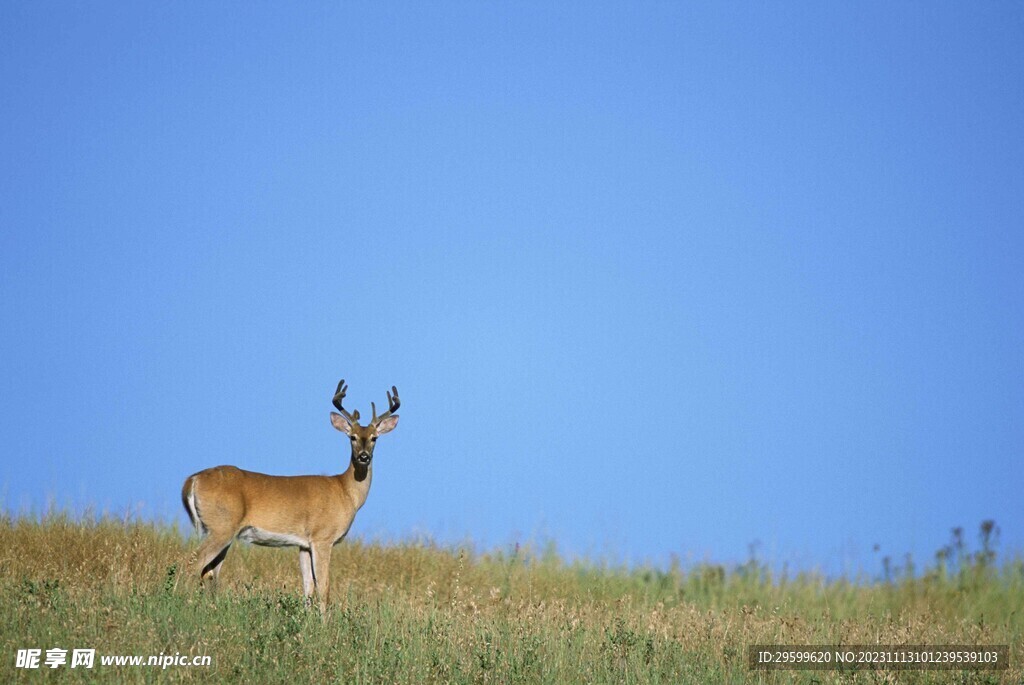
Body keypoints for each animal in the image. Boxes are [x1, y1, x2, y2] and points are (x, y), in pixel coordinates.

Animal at [182, 378, 397, 610]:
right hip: (221, 526)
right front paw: (324, 619)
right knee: (193, 564)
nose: (364, 457)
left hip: (217, 530)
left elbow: (308, 587)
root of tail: (192, 480)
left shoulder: (303, 544)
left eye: (374, 438)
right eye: (352, 437)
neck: (345, 491)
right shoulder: (322, 537)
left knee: (209, 572)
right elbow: (324, 588)